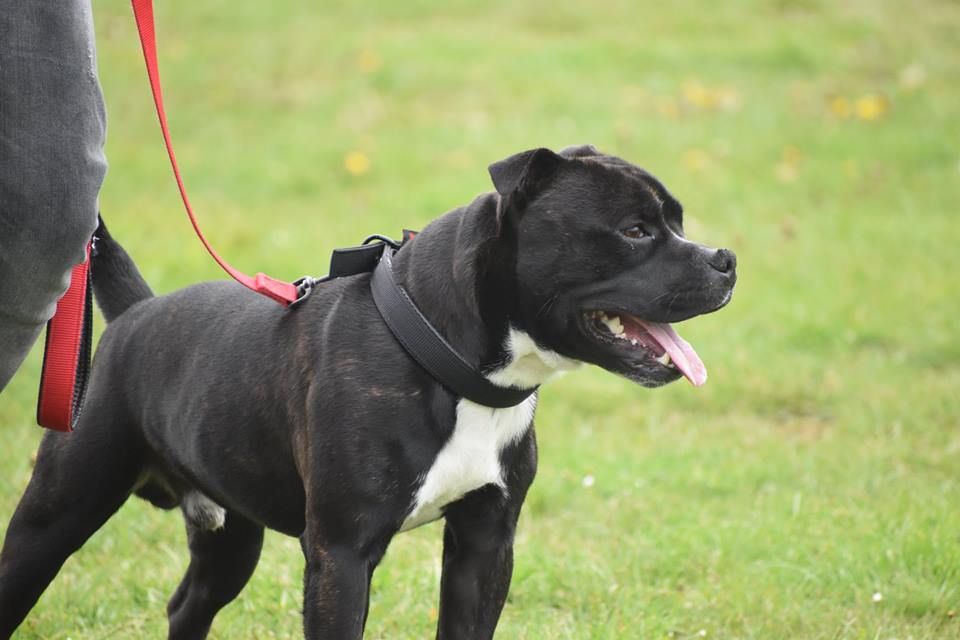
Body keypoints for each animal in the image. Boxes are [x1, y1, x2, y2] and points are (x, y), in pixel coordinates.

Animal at [0, 146, 736, 640]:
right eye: (636, 230)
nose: (725, 259)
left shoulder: (484, 545)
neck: (456, 366)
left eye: (676, 221)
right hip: (56, 514)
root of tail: (133, 316)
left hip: (231, 534)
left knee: (189, 604)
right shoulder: (341, 557)